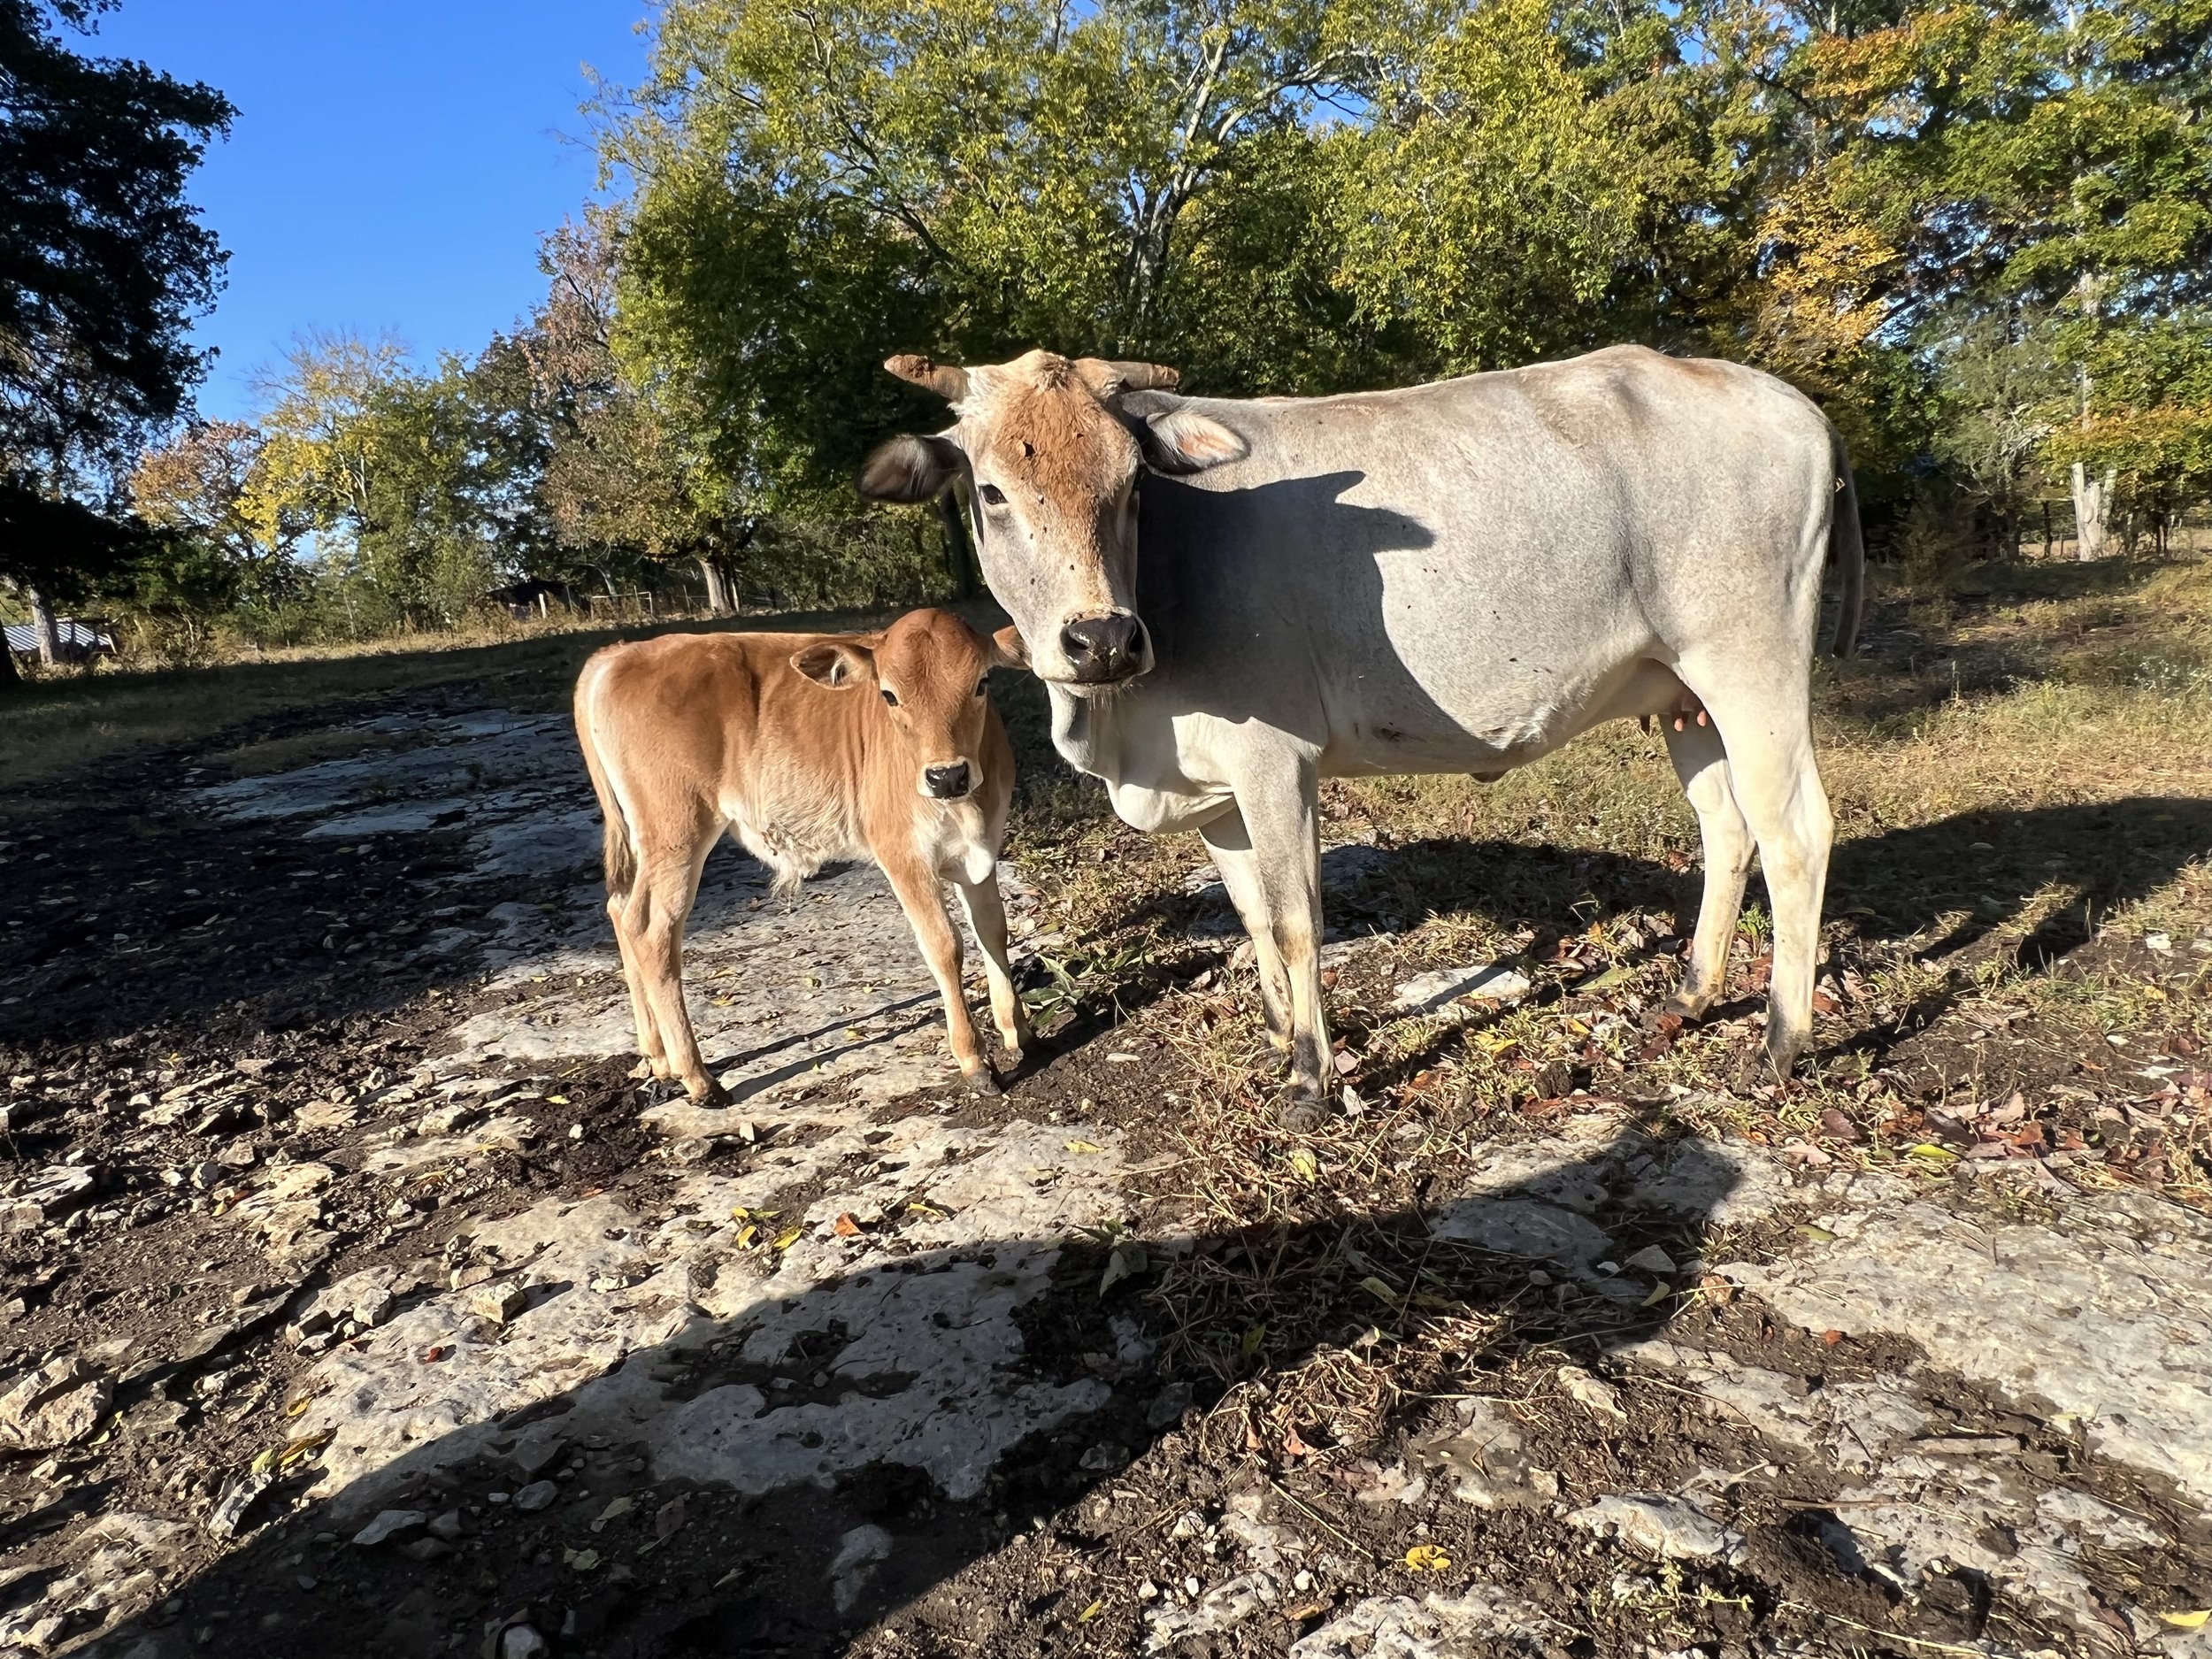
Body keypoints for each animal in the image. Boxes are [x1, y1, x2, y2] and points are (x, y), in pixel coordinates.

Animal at [573, 608, 1031, 1105]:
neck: (967, 808)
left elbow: (993, 930)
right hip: (675, 831)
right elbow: (945, 946)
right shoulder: (903, 855)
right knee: (652, 931)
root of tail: (618, 654)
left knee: (622, 912)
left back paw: (657, 1058)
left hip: (649, 840)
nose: (946, 775)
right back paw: (697, 1077)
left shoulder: (980, 852)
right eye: (889, 695)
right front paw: (973, 1059)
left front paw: (1018, 1029)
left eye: (982, 682)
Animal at [858, 347, 1863, 1126]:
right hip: (1685, 695)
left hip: (1749, 660)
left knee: (1795, 833)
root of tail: (1788, 399)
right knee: (1727, 830)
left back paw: (1780, 1044)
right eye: (990, 491)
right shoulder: (1217, 794)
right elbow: (1252, 917)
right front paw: (1280, 1035)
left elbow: (1296, 920)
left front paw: (1310, 1080)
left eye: (1132, 485)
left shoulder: (1275, 762)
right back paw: (1691, 993)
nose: (1101, 637)